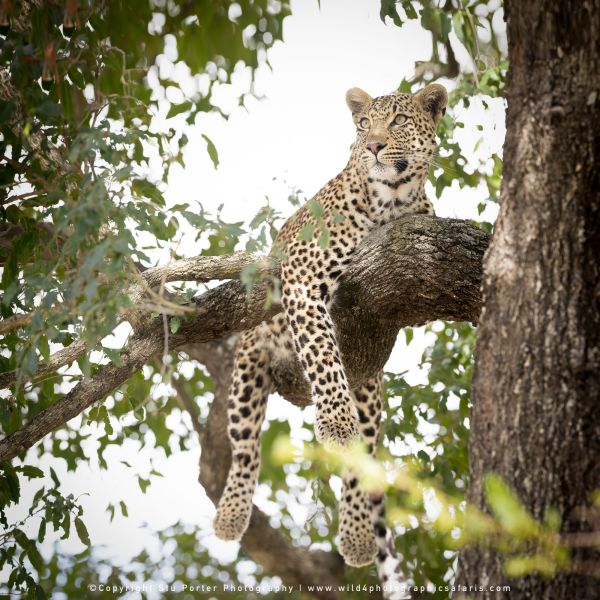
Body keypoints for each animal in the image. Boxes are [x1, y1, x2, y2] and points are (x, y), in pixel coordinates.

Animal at [211, 82, 446, 576]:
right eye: (364, 124)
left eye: (398, 121)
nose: (373, 145)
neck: (391, 199)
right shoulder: (302, 278)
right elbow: (321, 351)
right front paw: (335, 422)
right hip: (248, 370)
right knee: (245, 448)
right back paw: (231, 516)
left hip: (370, 391)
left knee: (362, 458)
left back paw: (357, 537)